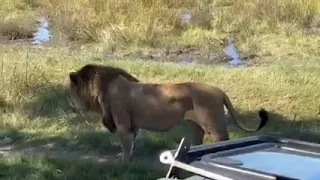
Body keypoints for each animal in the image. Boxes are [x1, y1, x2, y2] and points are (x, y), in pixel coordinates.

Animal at [67, 63, 268, 162]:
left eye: (71, 90)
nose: (72, 103)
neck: (103, 88)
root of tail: (219, 91)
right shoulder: (133, 125)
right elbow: (131, 143)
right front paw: (126, 158)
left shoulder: (123, 124)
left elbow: (125, 144)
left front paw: (123, 162)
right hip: (196, 126)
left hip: (215, 126)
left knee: (224, 140)